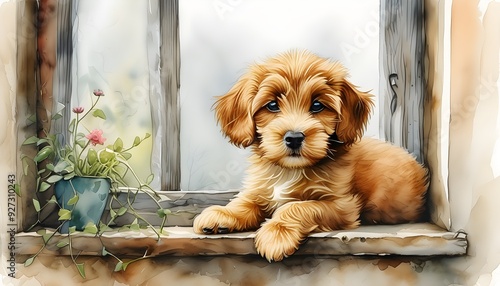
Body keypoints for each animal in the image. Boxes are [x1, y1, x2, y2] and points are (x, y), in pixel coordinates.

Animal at [193, 49, 428, 262]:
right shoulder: (261, 189)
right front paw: (223, 214)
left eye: (317, 105)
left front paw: (276, 234)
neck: (290, 171)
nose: (294, 137)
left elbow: (298, 206)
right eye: (272, 105)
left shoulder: (342, 205)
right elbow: (245, 201)